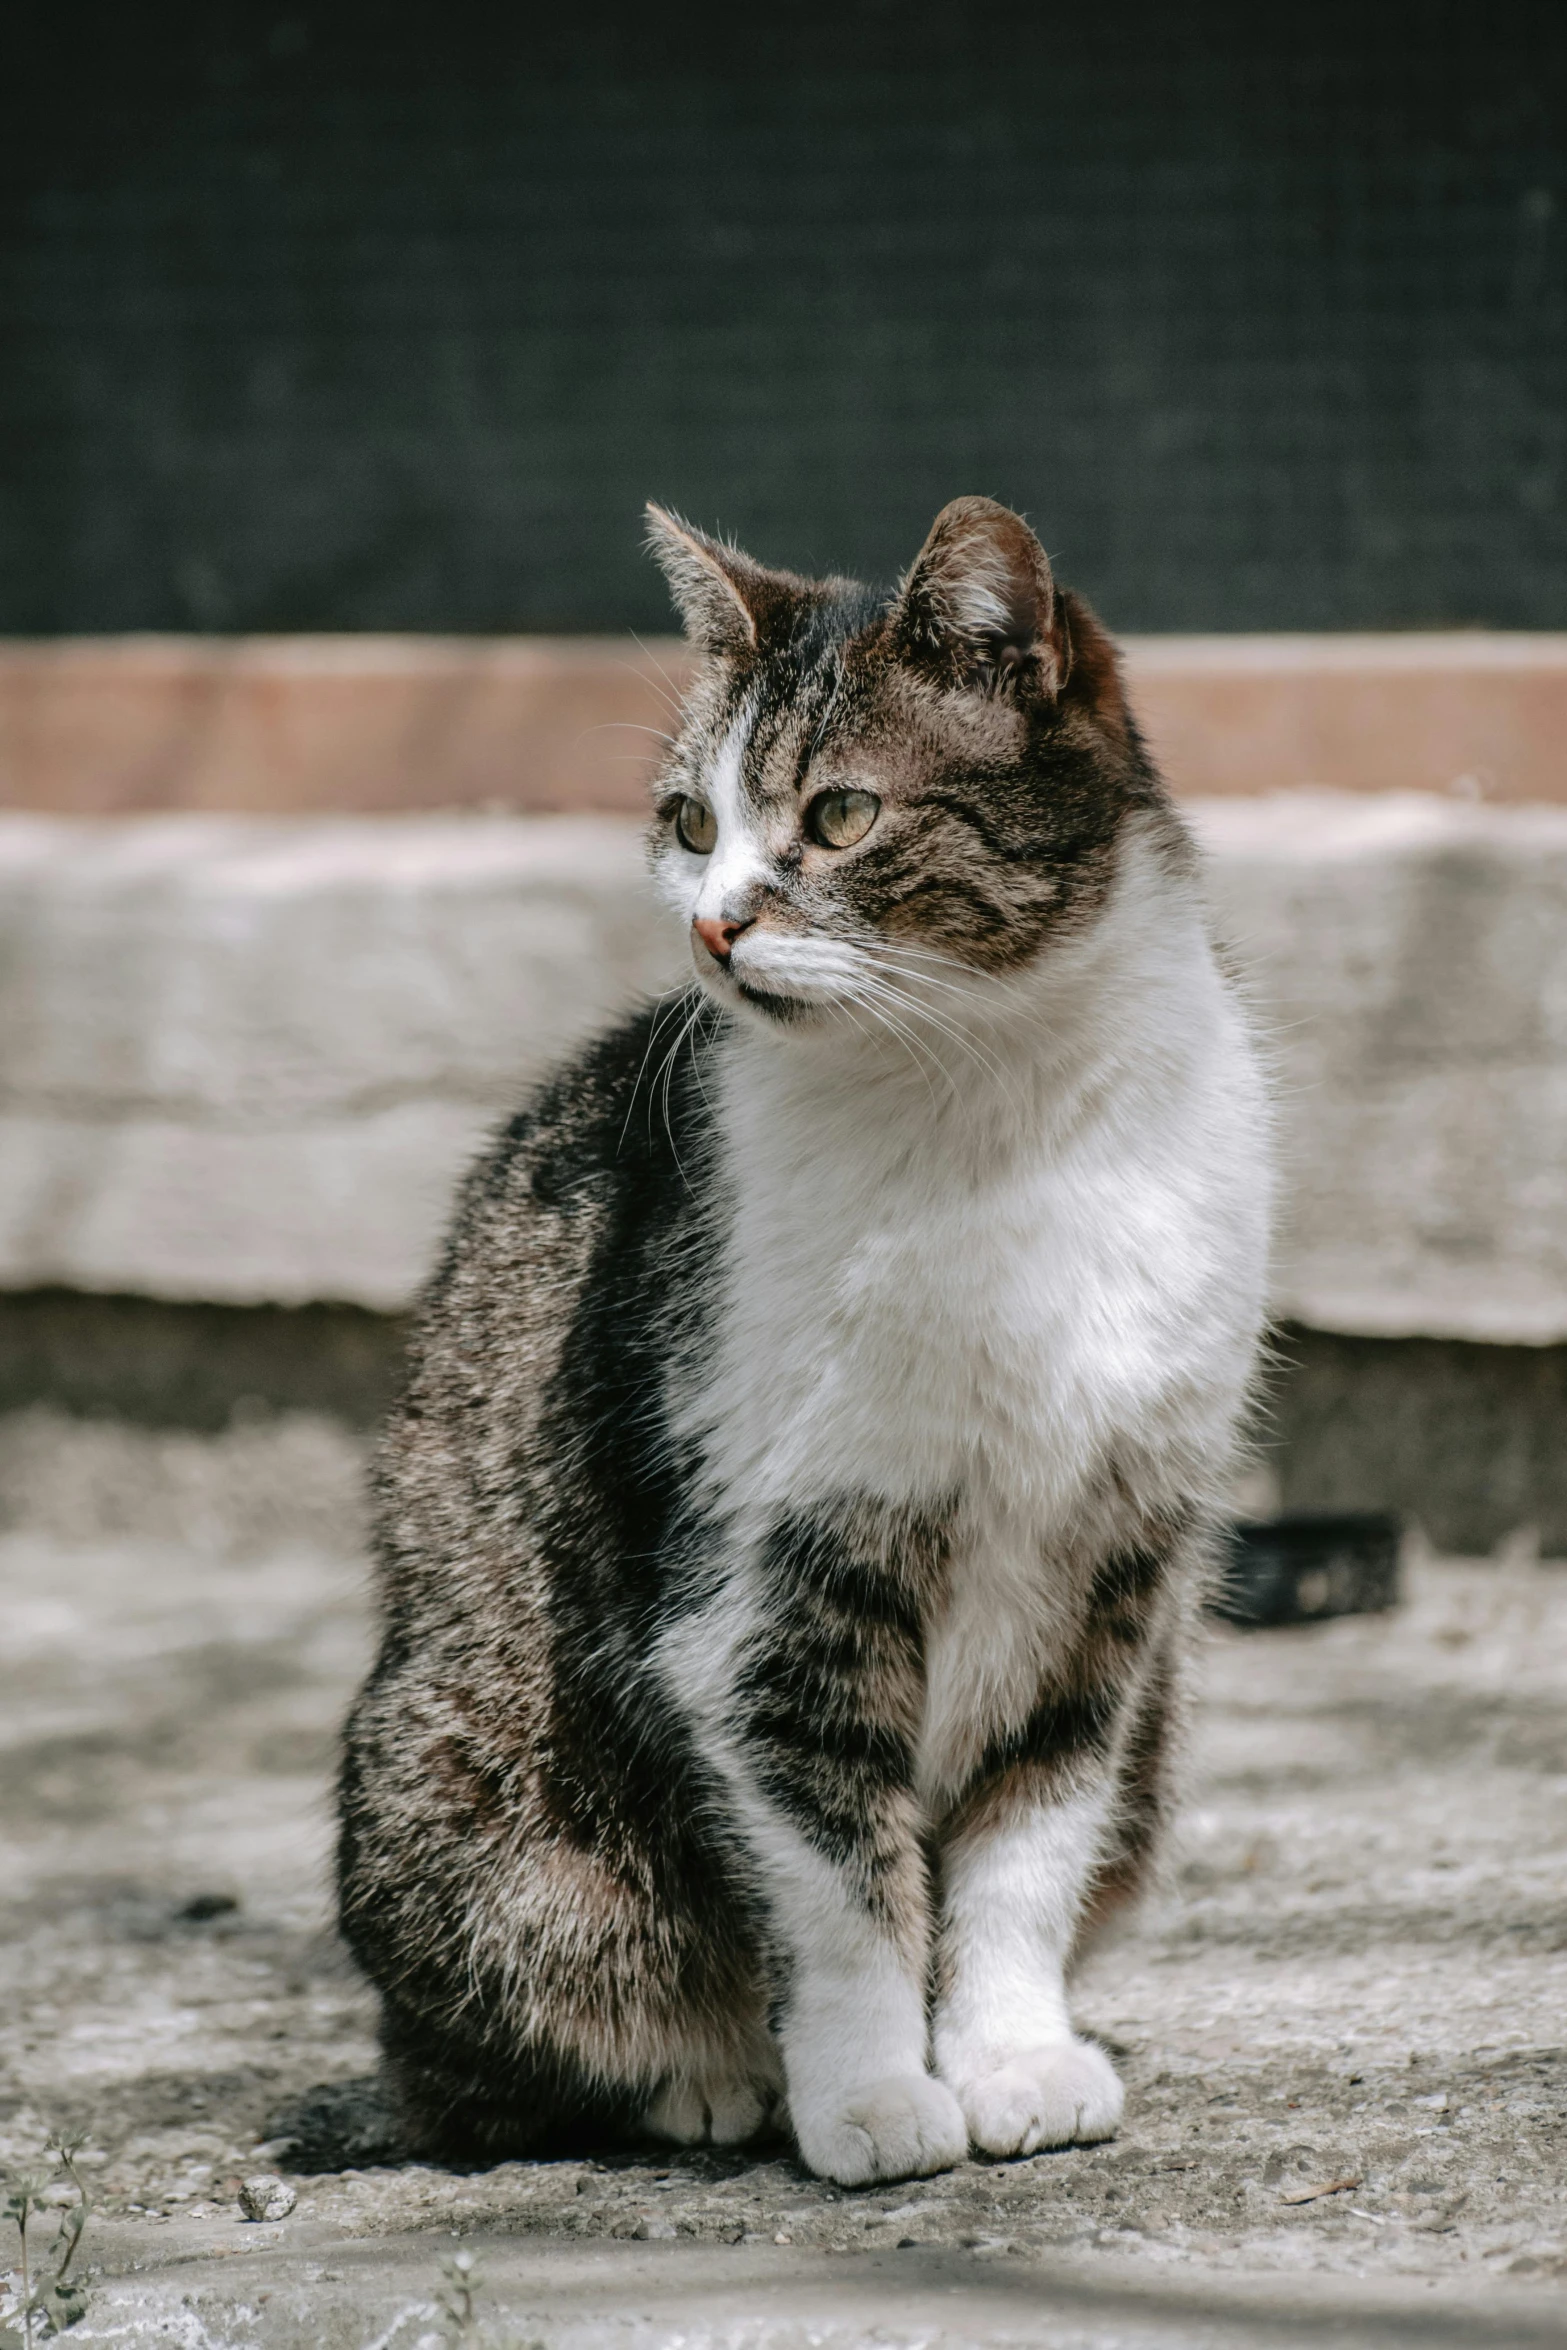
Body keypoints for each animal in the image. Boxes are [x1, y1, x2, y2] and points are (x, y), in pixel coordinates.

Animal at [340, 491, 1278, 2180]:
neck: (988, 1108)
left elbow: (1026, 1843)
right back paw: (712, 2083)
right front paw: (867, 2092)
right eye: (684, 822)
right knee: (472, 2058)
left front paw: (1010, 2057)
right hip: (467, 1804)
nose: (714, 927)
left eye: (837, 817)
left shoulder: (1111, 1572)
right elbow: (839, 1876)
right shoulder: (771, 1579)